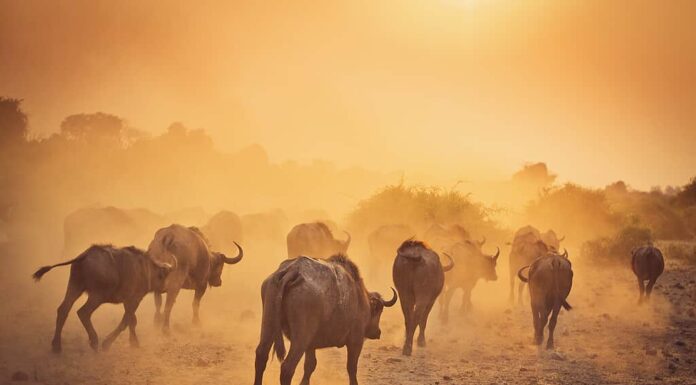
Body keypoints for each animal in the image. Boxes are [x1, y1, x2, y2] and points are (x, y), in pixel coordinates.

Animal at [31, 244, 174, 352]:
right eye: (164, 276)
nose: (166, 289)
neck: (144, 269)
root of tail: (84, 255)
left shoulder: (128, 302)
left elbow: (132, 321)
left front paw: (134, 342)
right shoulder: (134, 300)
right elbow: (125, 322)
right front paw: (107, 343)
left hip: (75, 287)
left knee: (63, 309)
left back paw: (56, 345)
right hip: (97, 296)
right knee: (83, 312)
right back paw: (94, 341)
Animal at [254, 254, 396, 382]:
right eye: (379, 310)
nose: (377, 332)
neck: (360, 297)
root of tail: (293, 271)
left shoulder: (310, 345)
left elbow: (310, 366)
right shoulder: (356, 341)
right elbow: (351, 368)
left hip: (268, 326)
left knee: (261, 356)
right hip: (300, 339)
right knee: (287, 368)